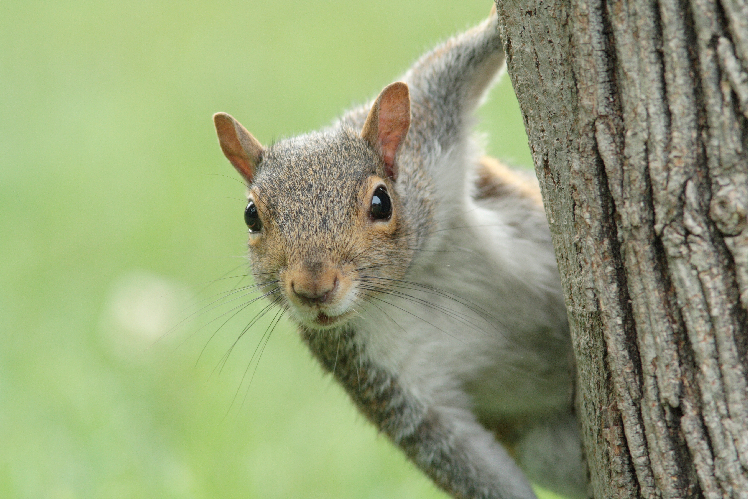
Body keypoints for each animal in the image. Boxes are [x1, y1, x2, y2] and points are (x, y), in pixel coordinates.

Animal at [213, 7, 588, 499]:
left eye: (381, 202)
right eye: (251, 216)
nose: (313, 288)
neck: (413, 279)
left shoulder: (429, 136)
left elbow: (452, 63)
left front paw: (495, 19)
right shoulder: (388, 380)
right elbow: (457, 455)